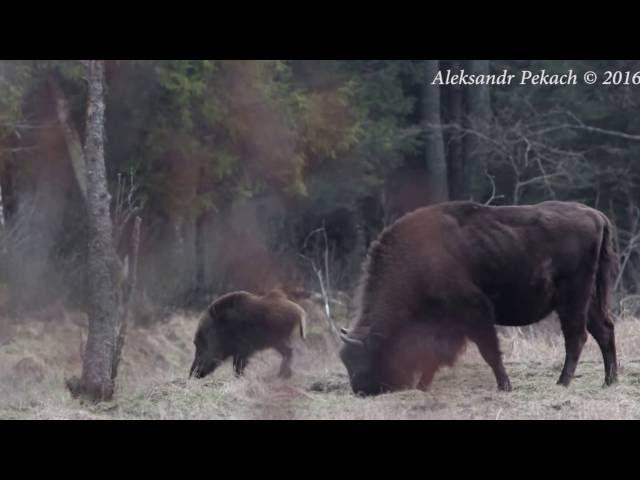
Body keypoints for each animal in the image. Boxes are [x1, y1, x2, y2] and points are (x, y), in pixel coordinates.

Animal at [342, 201, 616, 396]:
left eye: (367, 357)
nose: (361, 391)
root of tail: (596, 216)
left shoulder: (475, 311)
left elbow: (489, 350)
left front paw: (505, 386)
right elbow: (435, 357)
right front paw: (422, 387)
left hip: (572, 300)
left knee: (576, 336)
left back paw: (563, 382)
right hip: (589, 300)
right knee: (604, 330)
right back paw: (609, 381)